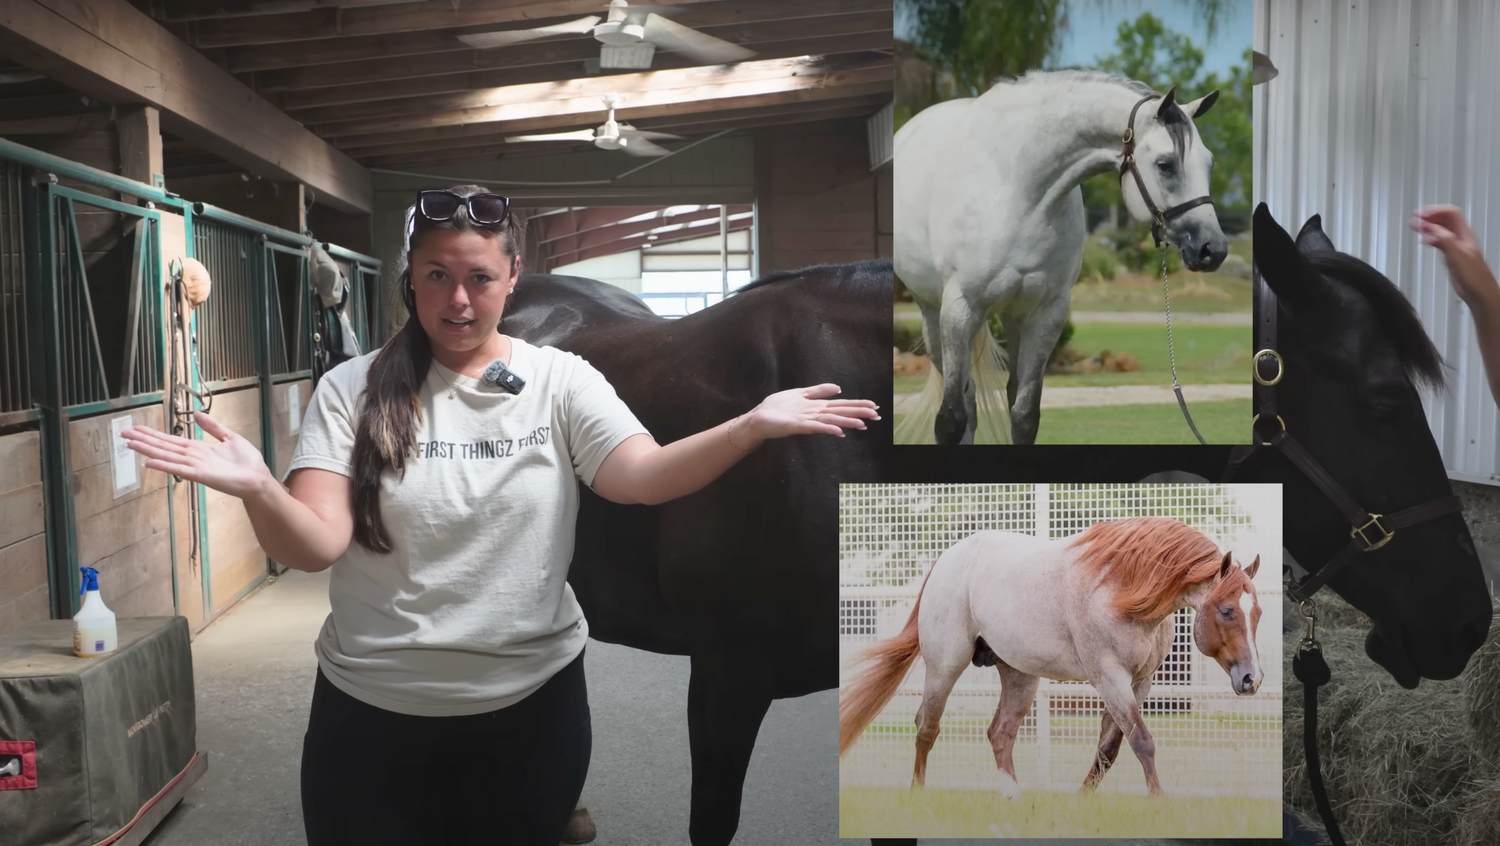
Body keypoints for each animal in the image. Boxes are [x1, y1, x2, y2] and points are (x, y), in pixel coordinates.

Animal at [838, 516, 1263, 800]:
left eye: (1257, 612)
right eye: (1227, 610)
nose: (1252, 679)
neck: (1123, 588)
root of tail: (946, 561)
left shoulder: (1139, 682)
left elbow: (1109, 748)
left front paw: (1083, 800)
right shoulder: (1109, 677)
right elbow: (1142, 741)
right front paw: (1159, 804)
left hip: (1019, 675)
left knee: (1000, 733)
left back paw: (1014, 799)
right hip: (945, 667)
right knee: (926, 727)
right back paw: (918, 794)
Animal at [894, 70, 1229, 445]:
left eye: (1210, 163)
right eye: (1165, 165)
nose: (1212, 248)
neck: (1017, 188)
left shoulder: (1046, 314)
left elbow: (1024, 417)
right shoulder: (960, 309)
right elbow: (950, 419)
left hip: (1013, 317)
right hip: (934, 314)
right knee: (963, 405)